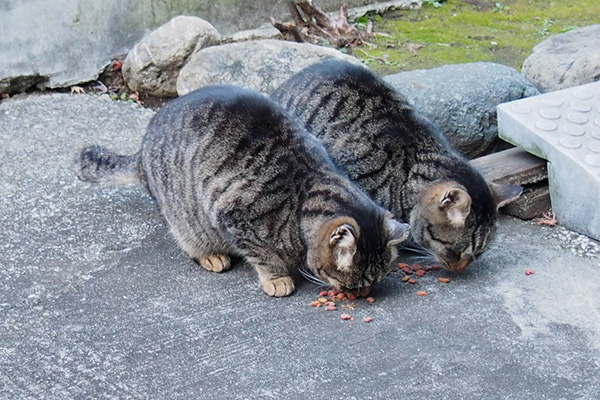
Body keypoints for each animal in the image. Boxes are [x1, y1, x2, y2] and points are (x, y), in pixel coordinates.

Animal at [76, 84, 408, 296]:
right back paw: (211, 256)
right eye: (355, 282)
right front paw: (278, 278)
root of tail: (142, 148)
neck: (303, 197)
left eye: (376, 279)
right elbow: (263, 255)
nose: (363, 294)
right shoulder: (236, 219)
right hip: (185, 216)